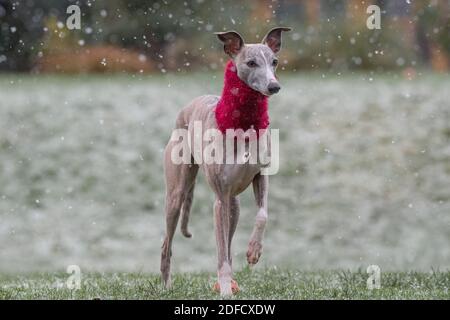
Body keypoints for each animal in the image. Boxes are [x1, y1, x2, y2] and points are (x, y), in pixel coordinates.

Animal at [162, 28, 292, 298]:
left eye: (274, 61)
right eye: (251, 63)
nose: (274, 86)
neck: (243, 125)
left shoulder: (260, 177)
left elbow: (263, 214)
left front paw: (254, 251)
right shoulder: (219, 200)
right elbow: (221, 255)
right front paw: (224, 290)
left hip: (234, 205)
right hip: (177, 195)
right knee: (167, 244)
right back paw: (167, 284)